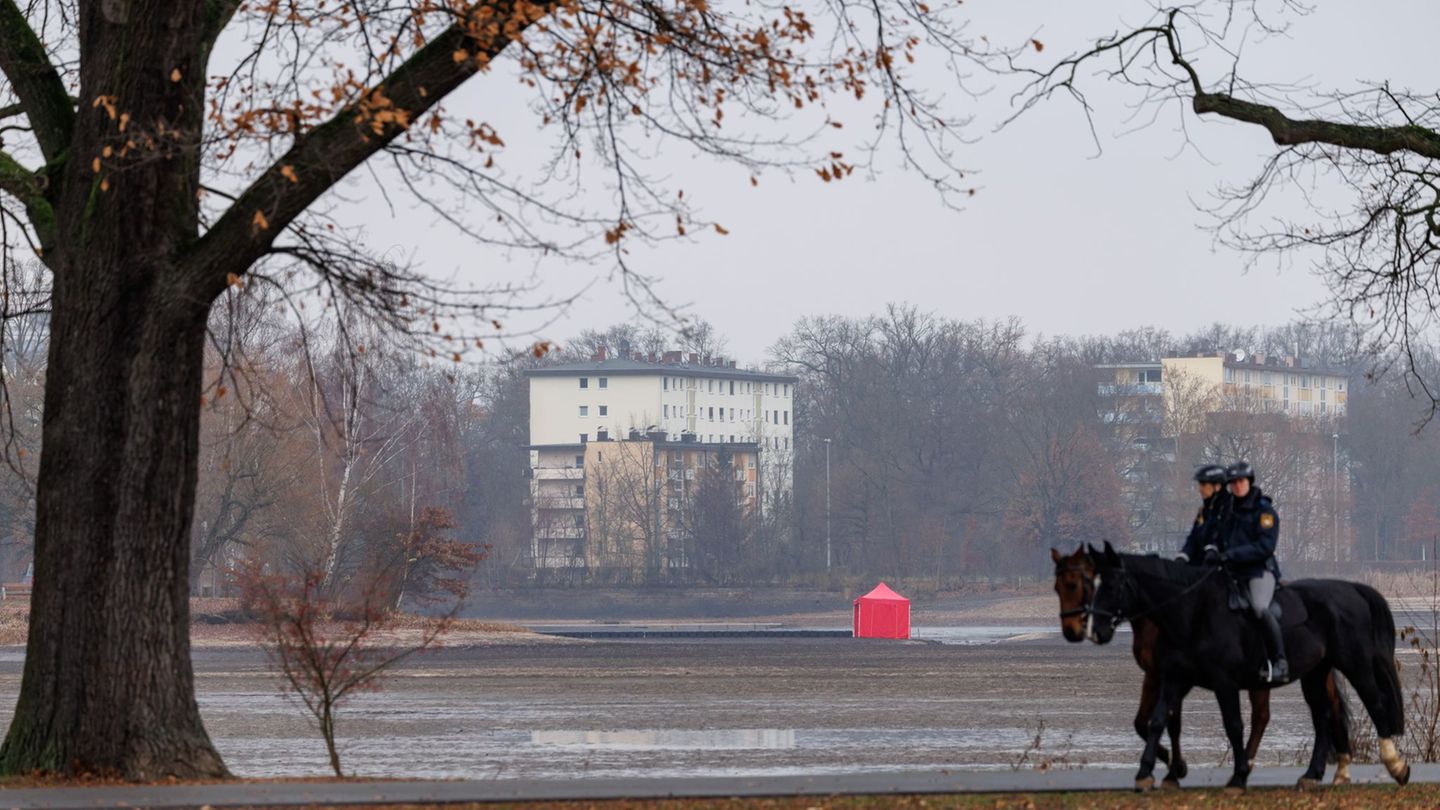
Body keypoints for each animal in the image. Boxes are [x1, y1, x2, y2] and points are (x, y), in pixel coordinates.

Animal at [1082, 541, 1405, 789]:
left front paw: (1236, 776)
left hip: (1355, 664)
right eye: (1091, 584)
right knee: (1323, 715)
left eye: (1112, 585)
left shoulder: (1222, 683)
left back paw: (1396, 766)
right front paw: (1147, 773)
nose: (1096, 631)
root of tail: (1352, 588)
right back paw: (1313, 775)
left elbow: (1233, 725)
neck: (1192, 612)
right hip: (1315, 673)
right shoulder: (1173, 678)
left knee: (1374, 704)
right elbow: (1158, 721)